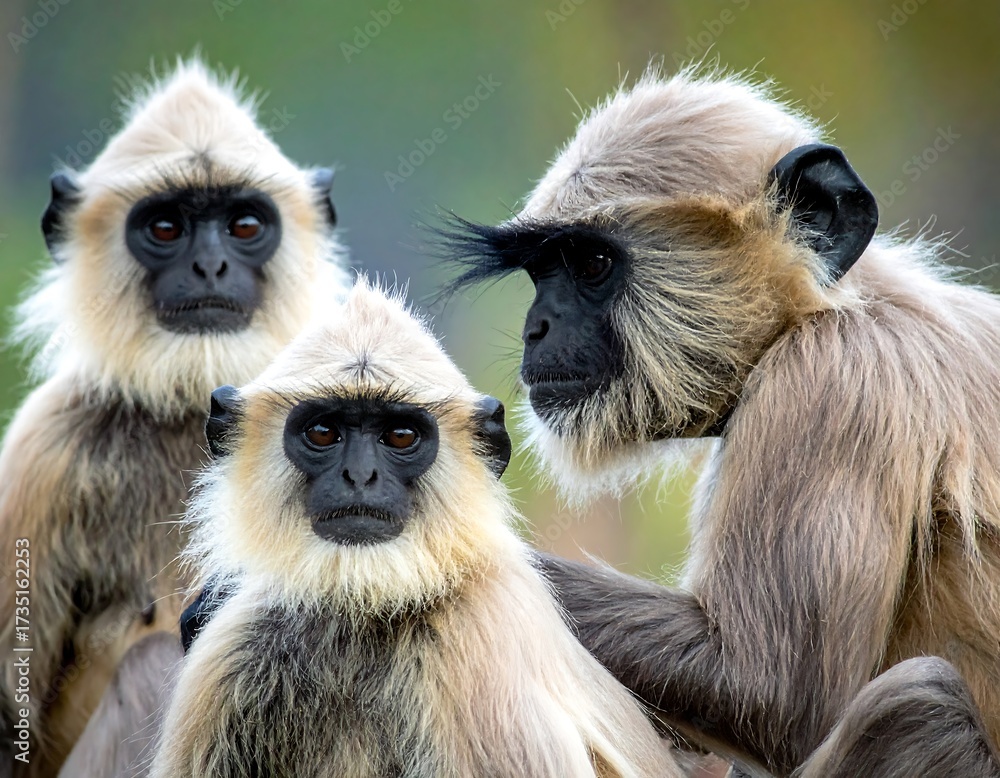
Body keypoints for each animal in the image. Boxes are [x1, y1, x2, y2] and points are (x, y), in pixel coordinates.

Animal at [437, 65, 1000, 776]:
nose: (536, 327)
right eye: (542, 270)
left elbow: (771, 690)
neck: (836, 306)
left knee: (922, 704)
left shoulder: (832, 379)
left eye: (591, 264)